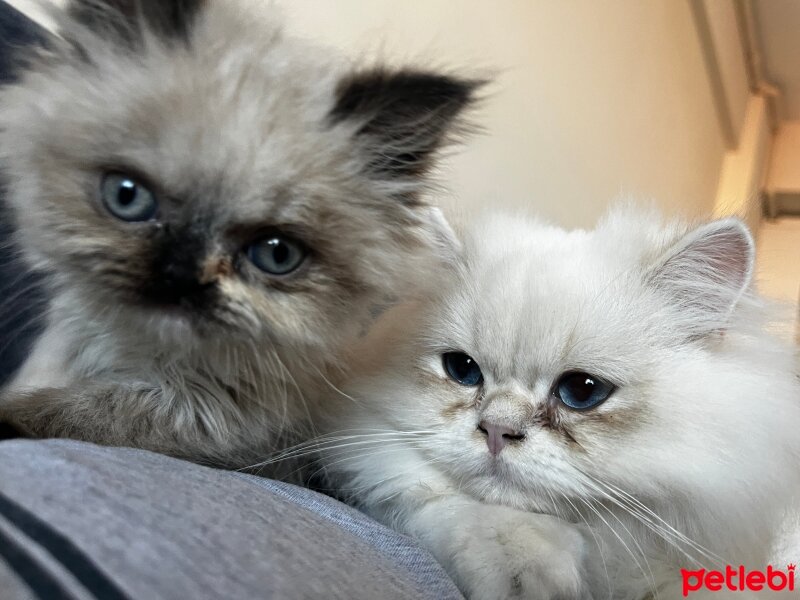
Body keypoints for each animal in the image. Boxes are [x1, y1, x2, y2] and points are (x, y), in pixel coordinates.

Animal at [0, 0, 478, 468]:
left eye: (277, 254)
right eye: (126, 196)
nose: (179, 275)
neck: (135, 349)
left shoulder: (217, 413)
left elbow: (76, 409)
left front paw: (13, 418)